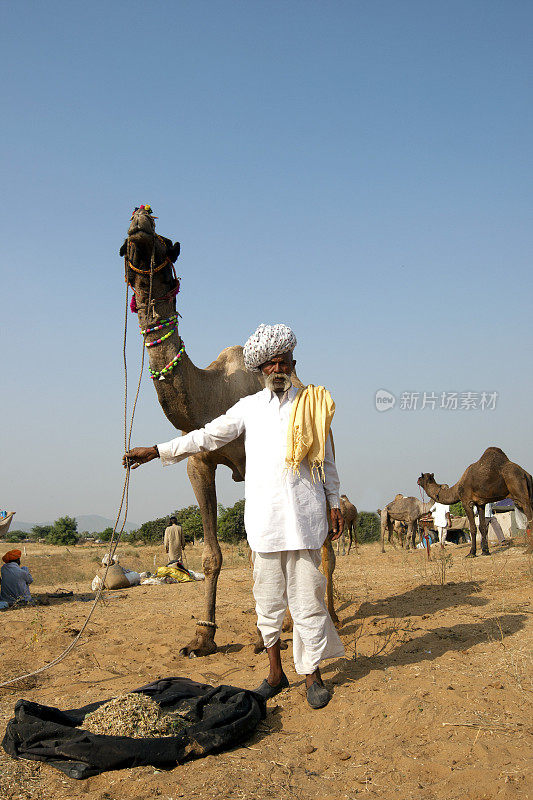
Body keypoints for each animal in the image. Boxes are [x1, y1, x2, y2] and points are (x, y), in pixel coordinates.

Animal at [119, 208, 338, 656]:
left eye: (166, 244)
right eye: (123, 243)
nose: (140, 219)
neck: (213, 394)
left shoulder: (252, 465)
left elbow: (260, 551)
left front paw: (262, 634)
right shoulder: (200, 463)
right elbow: (212, 555)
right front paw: (202, 637)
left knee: (324, 540)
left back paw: (327, 614)